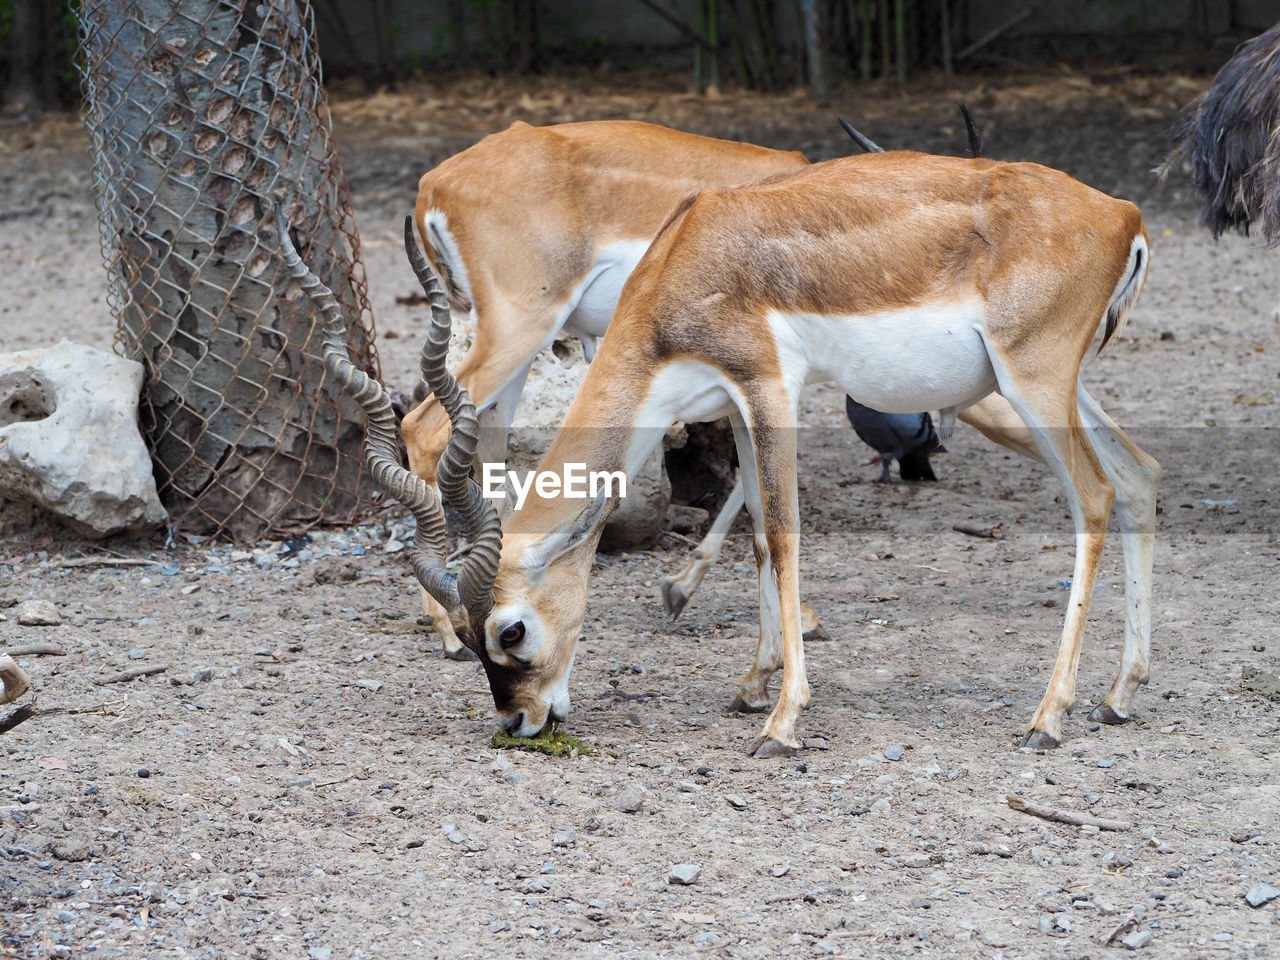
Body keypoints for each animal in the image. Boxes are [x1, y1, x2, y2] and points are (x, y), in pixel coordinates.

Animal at [280, 148, 1162, 757]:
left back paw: (1049, 717)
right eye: (470, 641)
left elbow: (782, 535)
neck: (690, 253)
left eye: (511, 631)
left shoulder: (771, 386)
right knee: (1140, 476)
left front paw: (780, 721)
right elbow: (761, 542)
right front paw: (750, 685)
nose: (520, 722)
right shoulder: (732, 403)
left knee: (1094, 498)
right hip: (1057, 389)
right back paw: (1120, 695)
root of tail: (1123, 214)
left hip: (1032, 384)